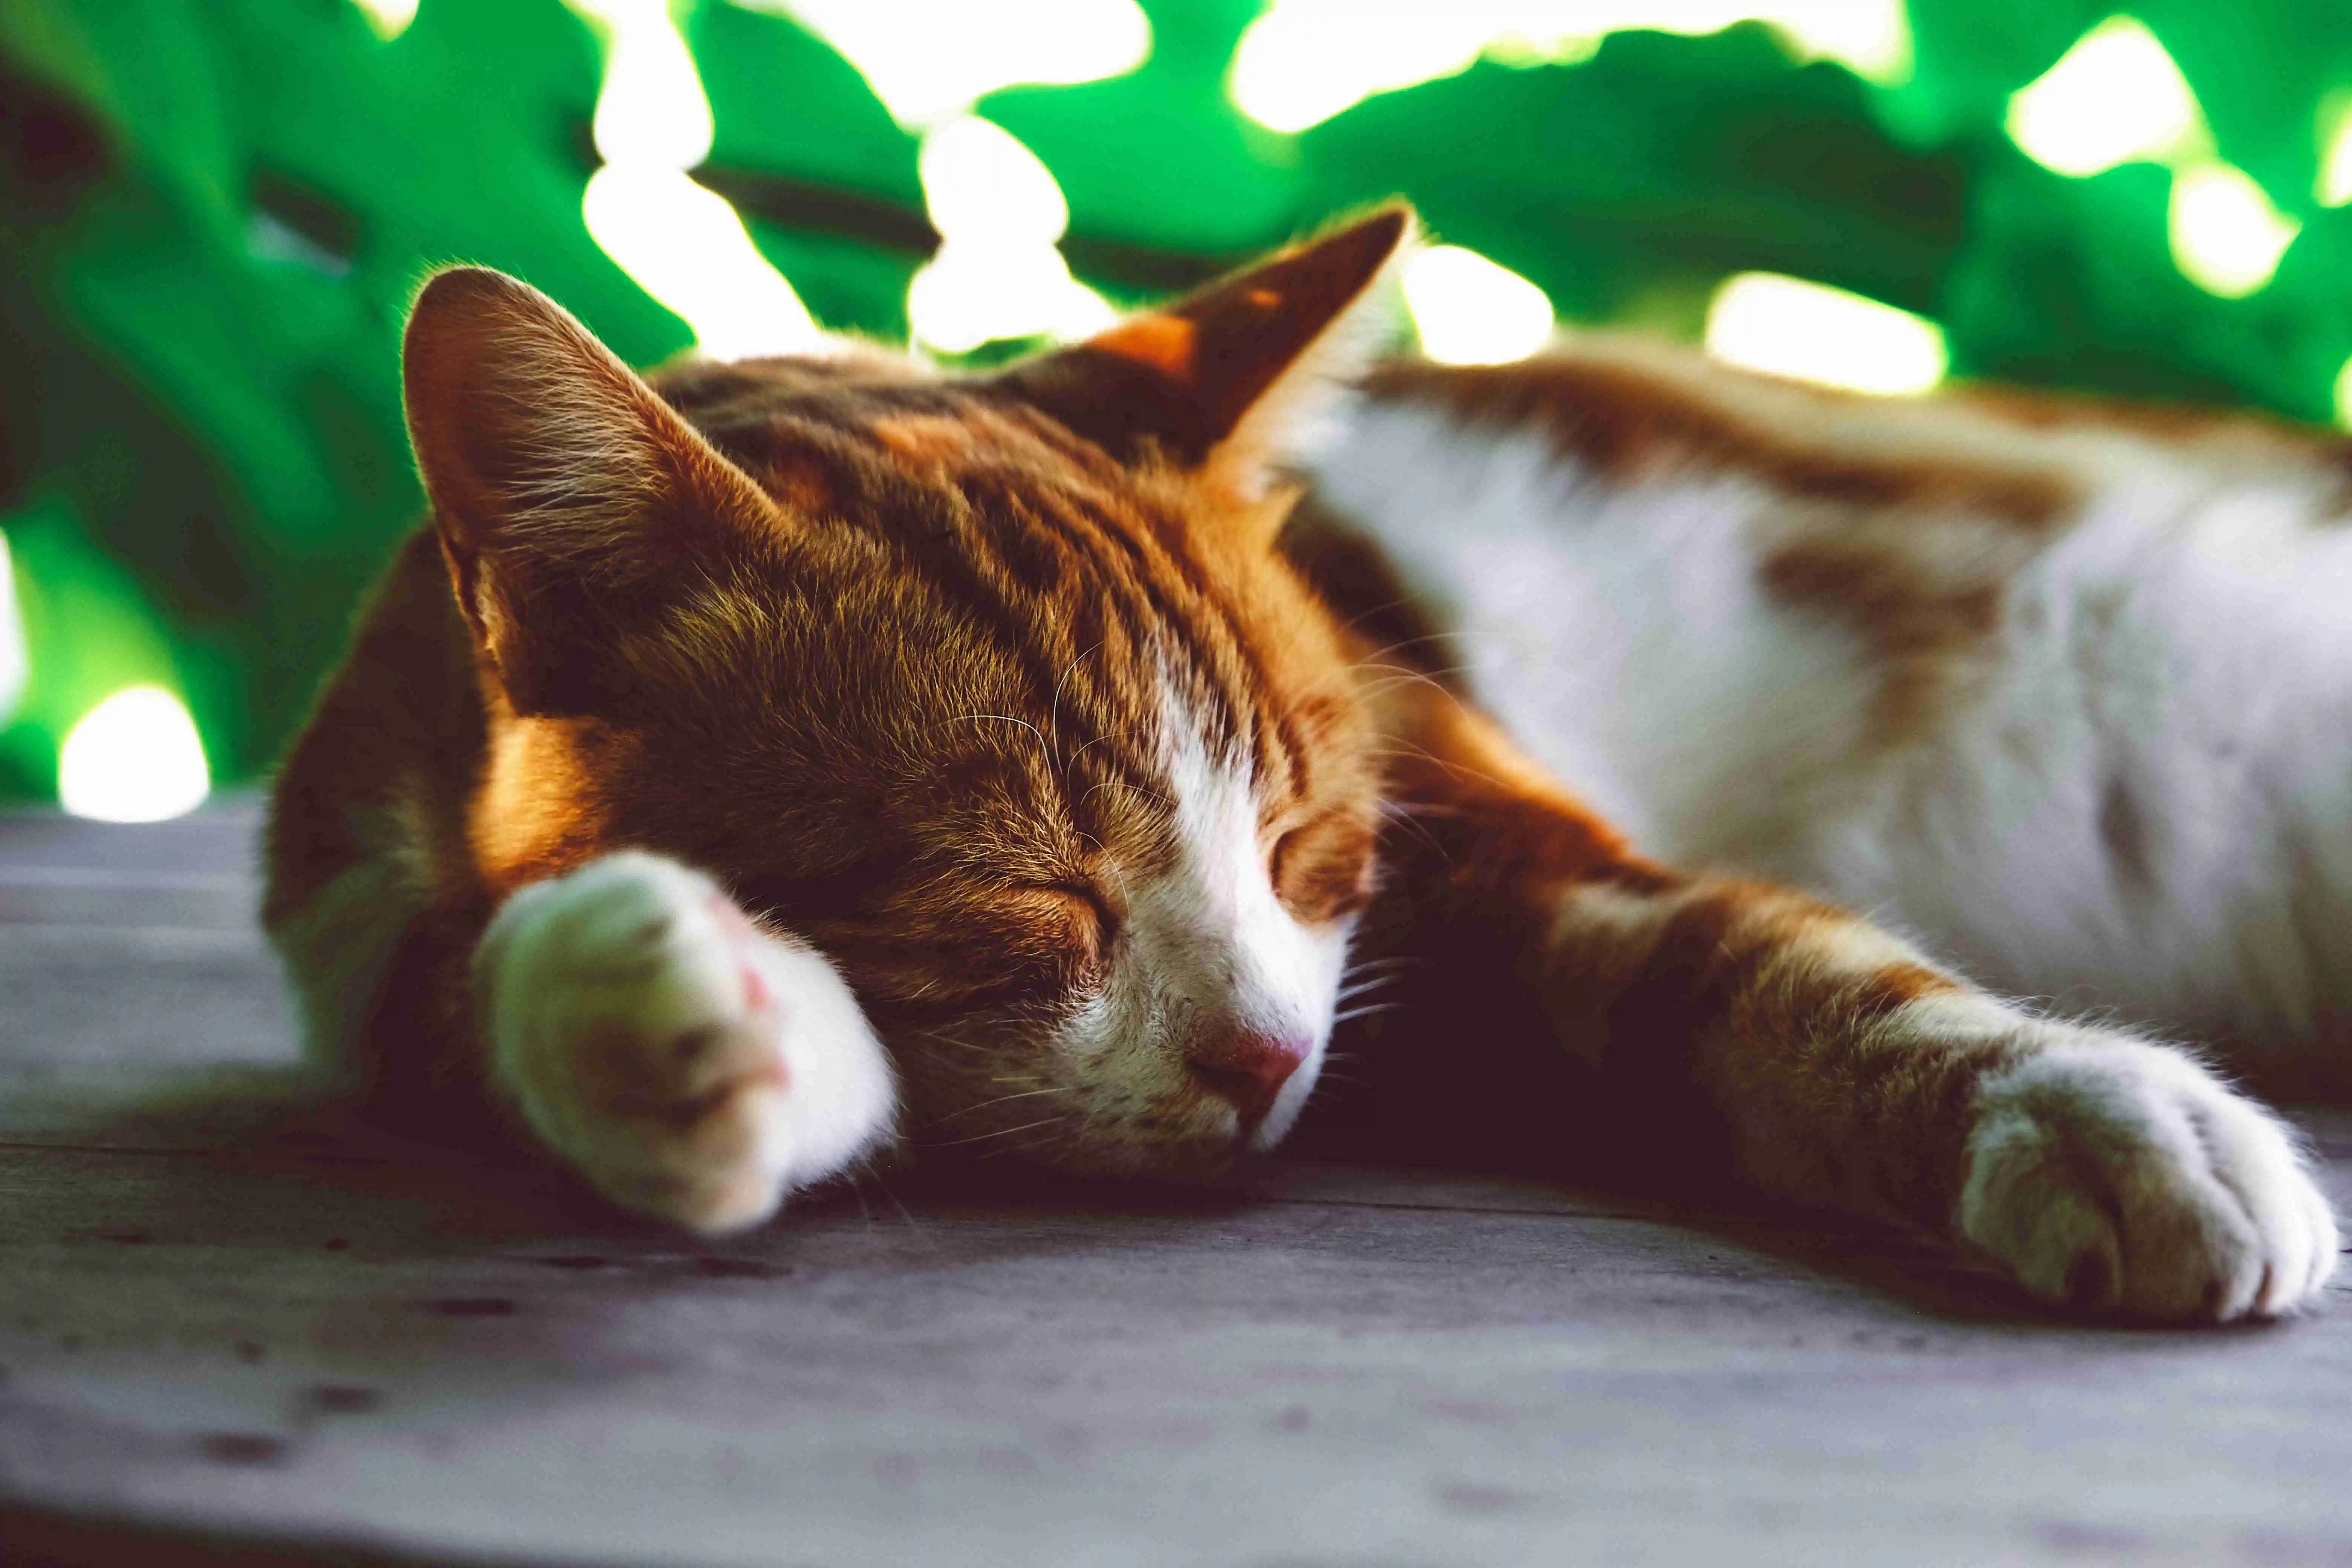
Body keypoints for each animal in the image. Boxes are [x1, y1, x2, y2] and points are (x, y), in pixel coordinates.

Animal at [262, 205, 2333, 1316]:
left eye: (1312, 854)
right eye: (1026, 904)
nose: (1266, 1063)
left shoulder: (1513, 858)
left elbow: (1768, 957)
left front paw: (2094, 1112)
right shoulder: (365, 933)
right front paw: (662, 999)